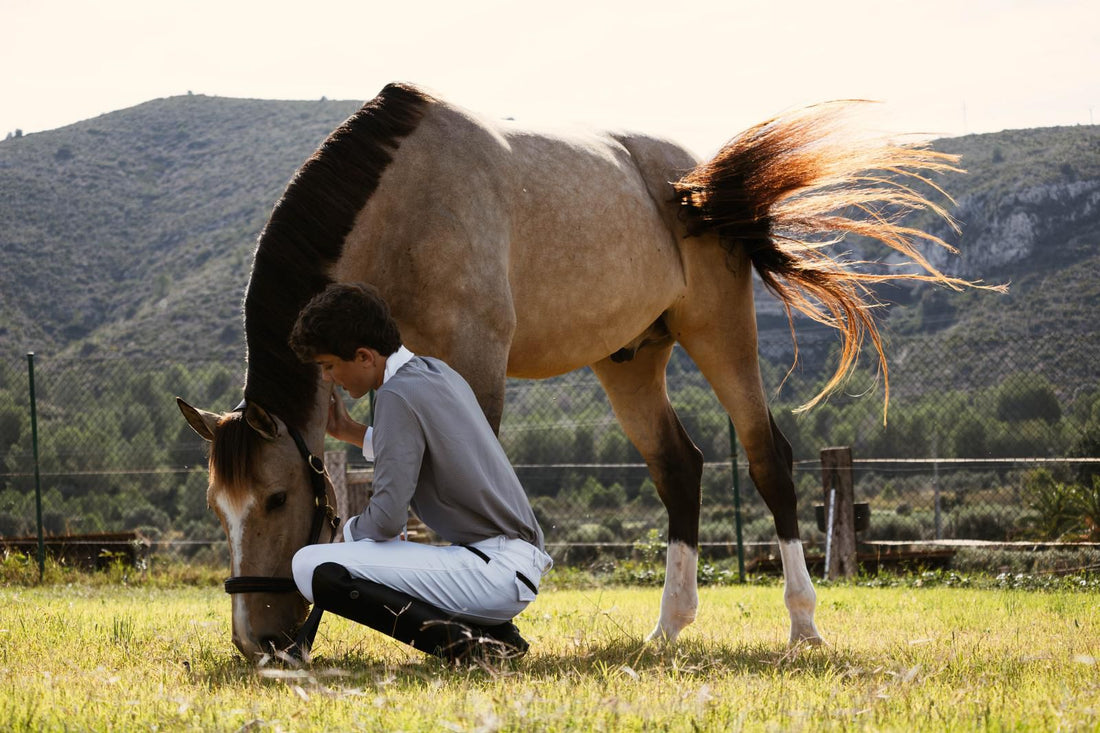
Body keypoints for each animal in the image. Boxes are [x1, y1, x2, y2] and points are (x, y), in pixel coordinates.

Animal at [177, 82, 980, 661]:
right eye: (219, 507)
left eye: (278, 499)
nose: (258, 640)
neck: (408, 208)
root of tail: (698, 183)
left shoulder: (477, 363)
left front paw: (488, 630)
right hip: (630, 360)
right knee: (678, 467)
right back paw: (669, 626)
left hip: (719, 333)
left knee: (766, 458)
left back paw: (803, 625)